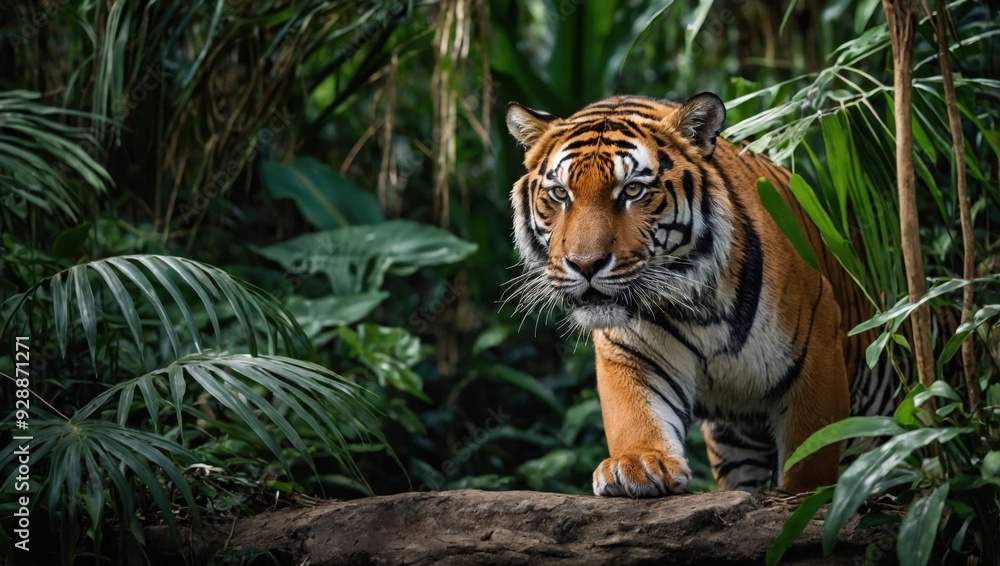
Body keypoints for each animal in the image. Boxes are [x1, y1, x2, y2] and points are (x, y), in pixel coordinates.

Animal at [504, 93, 896, 496]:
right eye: (560, 194)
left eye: (632, 190)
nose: (585, 264)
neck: (696, 307)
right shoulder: (632, 355)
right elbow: (635, 415)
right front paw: (636, 465)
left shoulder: (817, 353)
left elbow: (811, 454)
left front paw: (812, 497)